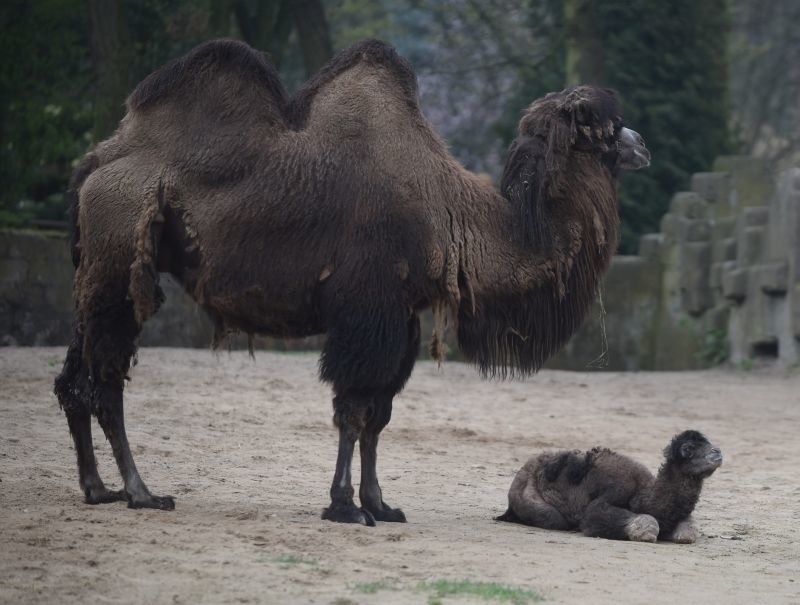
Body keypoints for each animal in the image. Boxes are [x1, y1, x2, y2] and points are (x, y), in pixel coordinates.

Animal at [496, 430, 720, 544]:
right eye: (688, 449)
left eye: (708, 442)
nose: (717, 452)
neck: (643, 496)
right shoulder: (609, 498)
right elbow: (646, 522)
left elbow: (688, 531)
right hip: (531, 499)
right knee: (553, 518)